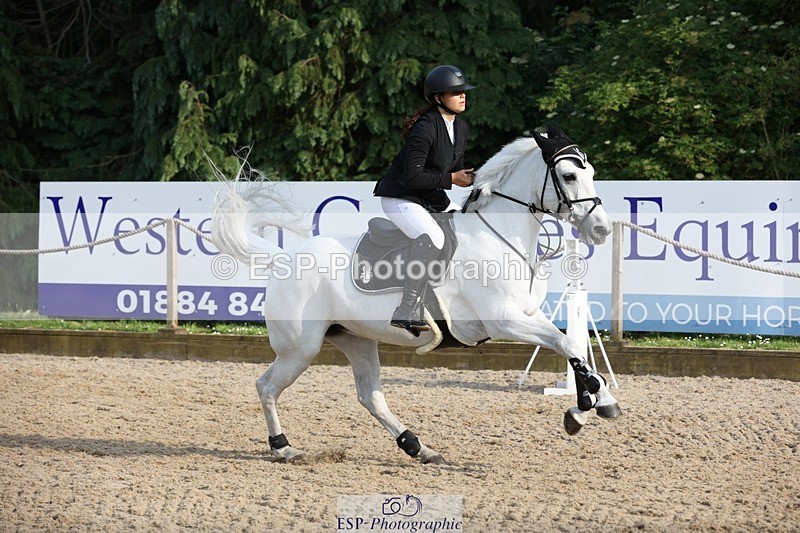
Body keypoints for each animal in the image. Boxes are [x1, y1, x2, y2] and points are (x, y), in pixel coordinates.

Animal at [210, 127, 622, 464]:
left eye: (591, 174)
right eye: (569, 175)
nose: (601, 230)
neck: (498, 235)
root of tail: (283, 257)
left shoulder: (527, 314)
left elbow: (571, 345)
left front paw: (596, 403)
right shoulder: (503, 320)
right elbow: (565, 344)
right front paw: (585, 408)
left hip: (356, 339)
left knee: (370, 396)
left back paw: (418, 447)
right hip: (301, 348)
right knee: (266, 386)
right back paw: (283, 448)